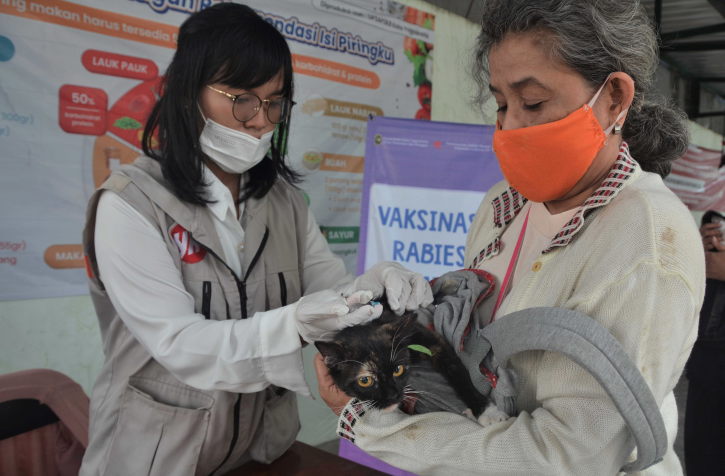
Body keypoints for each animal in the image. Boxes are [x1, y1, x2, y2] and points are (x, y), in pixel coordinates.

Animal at [316, 304, 492, 420]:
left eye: (398, 369)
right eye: (365, 380)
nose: (392, 395)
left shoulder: (432, 341)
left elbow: (456, 370)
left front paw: (486, 411)